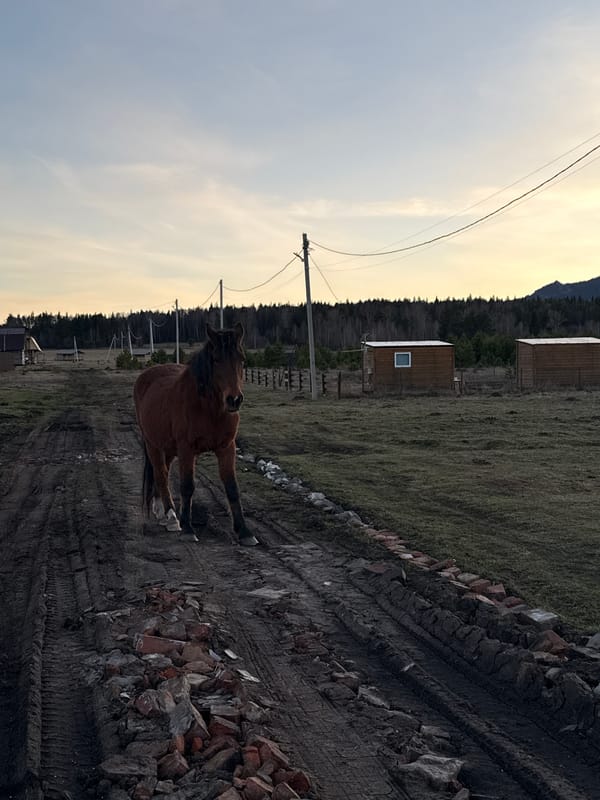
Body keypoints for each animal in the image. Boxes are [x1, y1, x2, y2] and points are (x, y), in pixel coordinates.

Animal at [133, 322, 258, 546]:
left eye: (242, 359)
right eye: (215, 359)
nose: (234, 399)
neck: (209, 409)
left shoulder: (227, 448)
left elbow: (232, 488)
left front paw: (244, 531)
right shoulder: (186, 449)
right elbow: (187, 486)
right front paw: (188, 529)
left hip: (168, 447)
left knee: (163, 472)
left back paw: (163, 513)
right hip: (152, 443)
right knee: (161, 473)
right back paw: (171, 516)